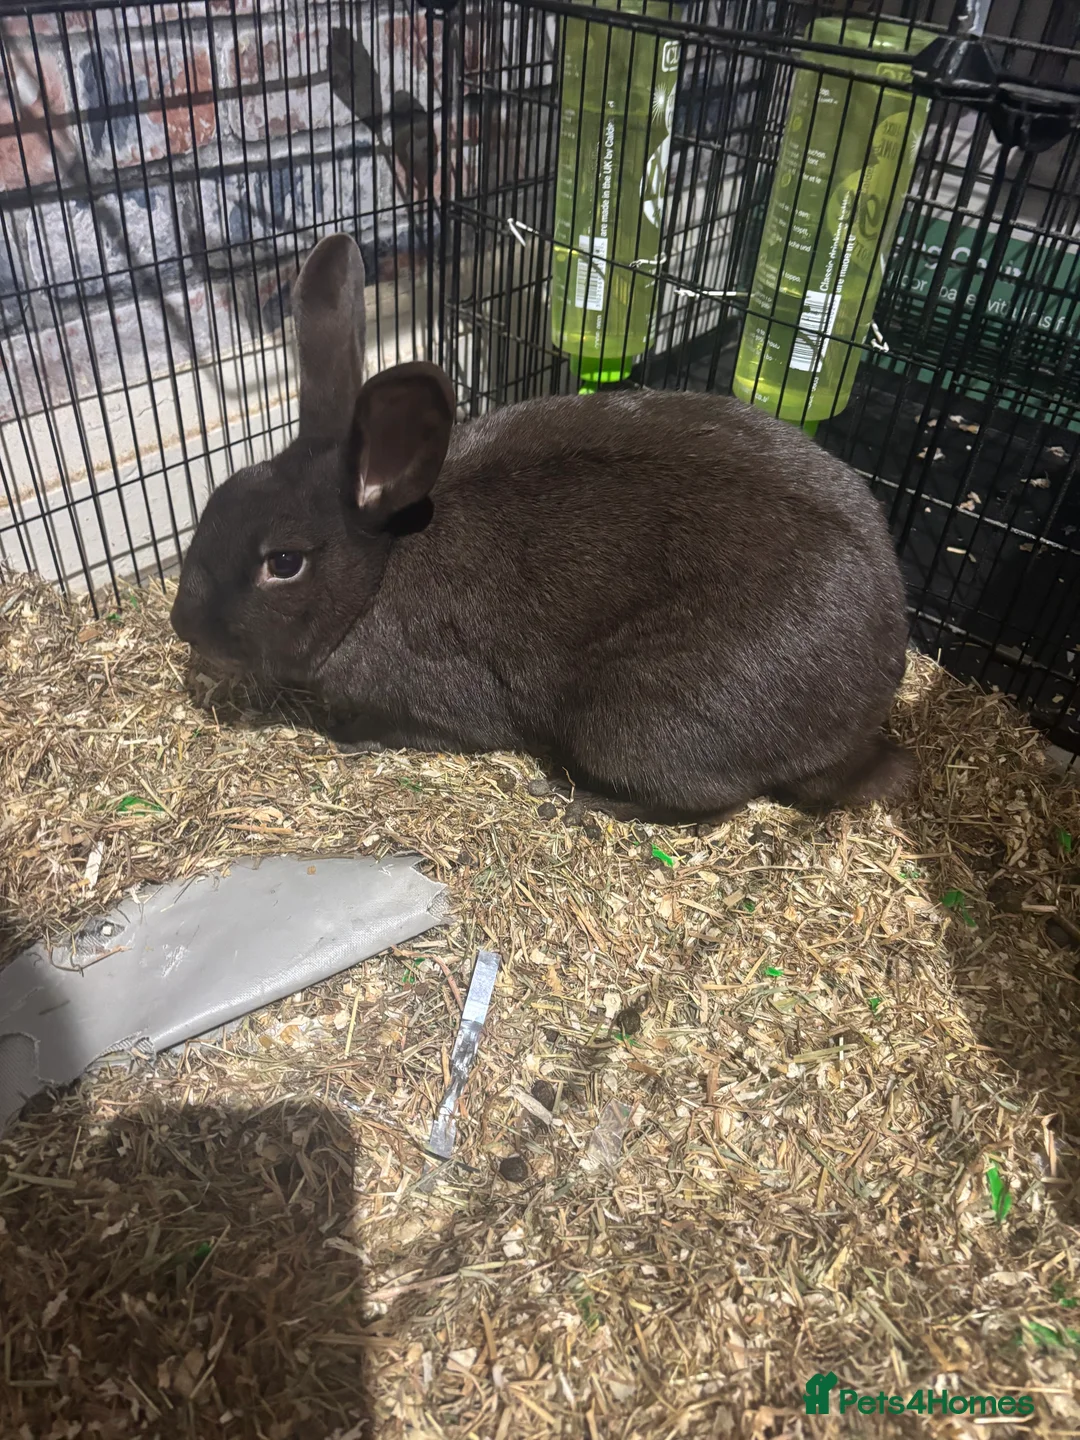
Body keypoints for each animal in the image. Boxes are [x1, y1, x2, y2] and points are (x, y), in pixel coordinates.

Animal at [170, 232, 915, 826]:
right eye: (219, 499)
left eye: (284, 562)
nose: (184, 626)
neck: (378, 573)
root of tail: (859, 721)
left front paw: (349, 738)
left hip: (643, 712)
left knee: (705, 799)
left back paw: (576, 800)